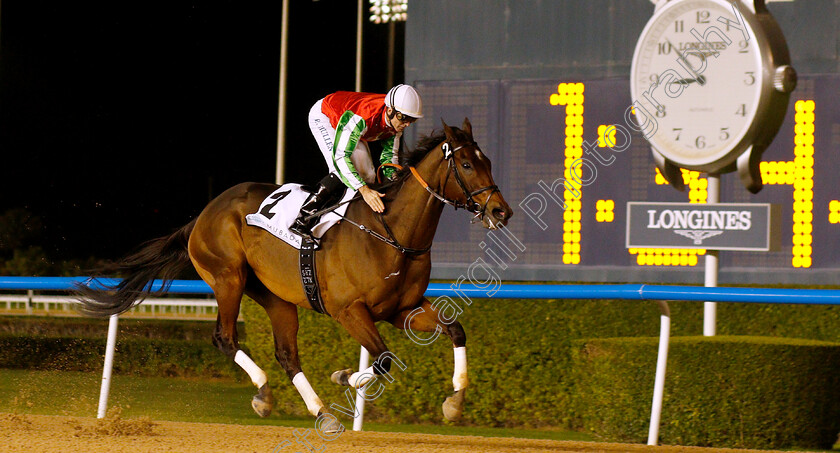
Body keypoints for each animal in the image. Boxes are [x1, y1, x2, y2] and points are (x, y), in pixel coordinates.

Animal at [77, 117, 512, 428]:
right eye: (468, 164)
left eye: (490, 162)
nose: (501, 211)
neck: (391, 232)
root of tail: (202, 214)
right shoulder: (349, 311)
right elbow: (384, 360)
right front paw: (345, 376)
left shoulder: (402, 310)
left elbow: (454, 330)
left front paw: (455, 402)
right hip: (228, 277)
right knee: (224, 337)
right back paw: (264, 393)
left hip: (277, 297)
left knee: (287, 354)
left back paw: (317, 411)